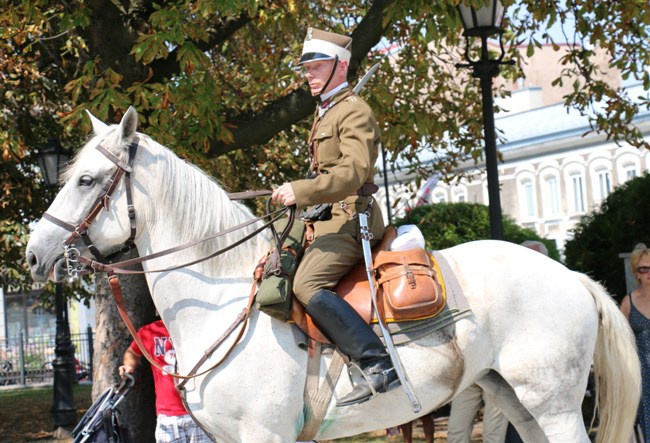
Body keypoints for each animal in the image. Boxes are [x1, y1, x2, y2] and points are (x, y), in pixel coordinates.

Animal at [26, 108, 636, 443]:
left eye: (86, 179)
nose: (34, 253)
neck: (224, 301)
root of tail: (571, 276)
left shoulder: (264, 435)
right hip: (516, 398)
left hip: (554, 403)